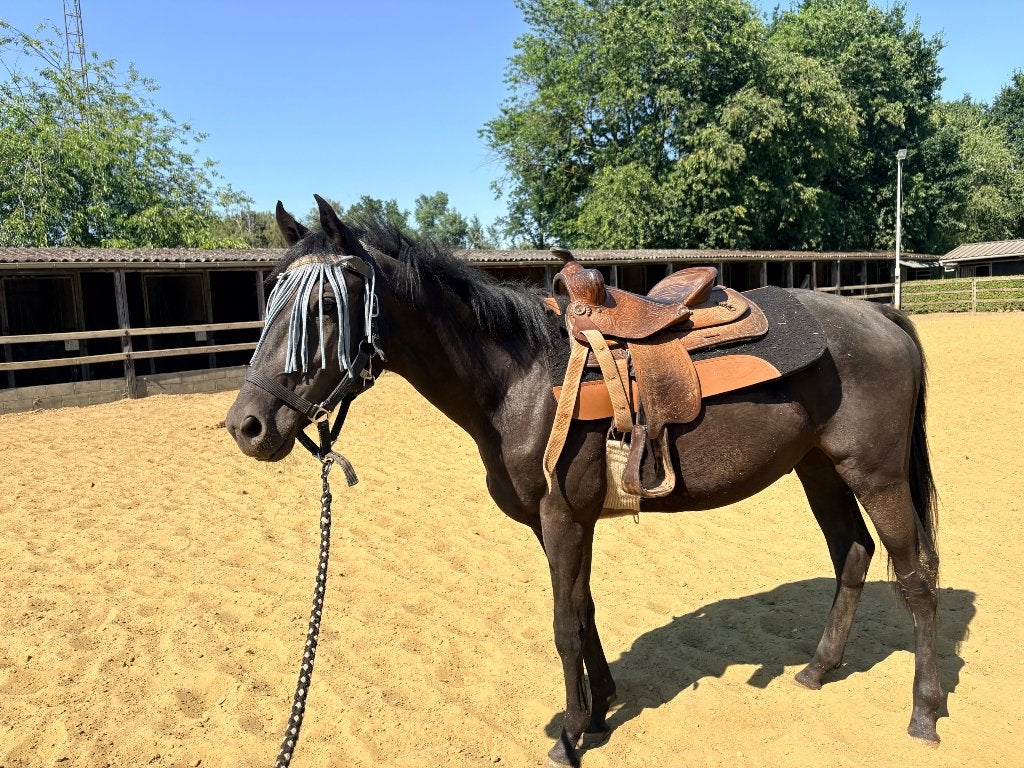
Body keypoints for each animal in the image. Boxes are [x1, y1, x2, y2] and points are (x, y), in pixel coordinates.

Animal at [225, 196, 941, 767]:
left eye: (324, 306)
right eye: (269, 298)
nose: (247, 425)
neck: (520, 379)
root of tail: (884, 319)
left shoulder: (564, 517)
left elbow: (565, 622)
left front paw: (569, 735)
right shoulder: (559, 525)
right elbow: (586, 609)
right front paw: (598, 713)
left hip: (876, 475)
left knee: (916, 577)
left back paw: (924, 712)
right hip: (819, 469)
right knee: (852, 554)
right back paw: (818, 670)